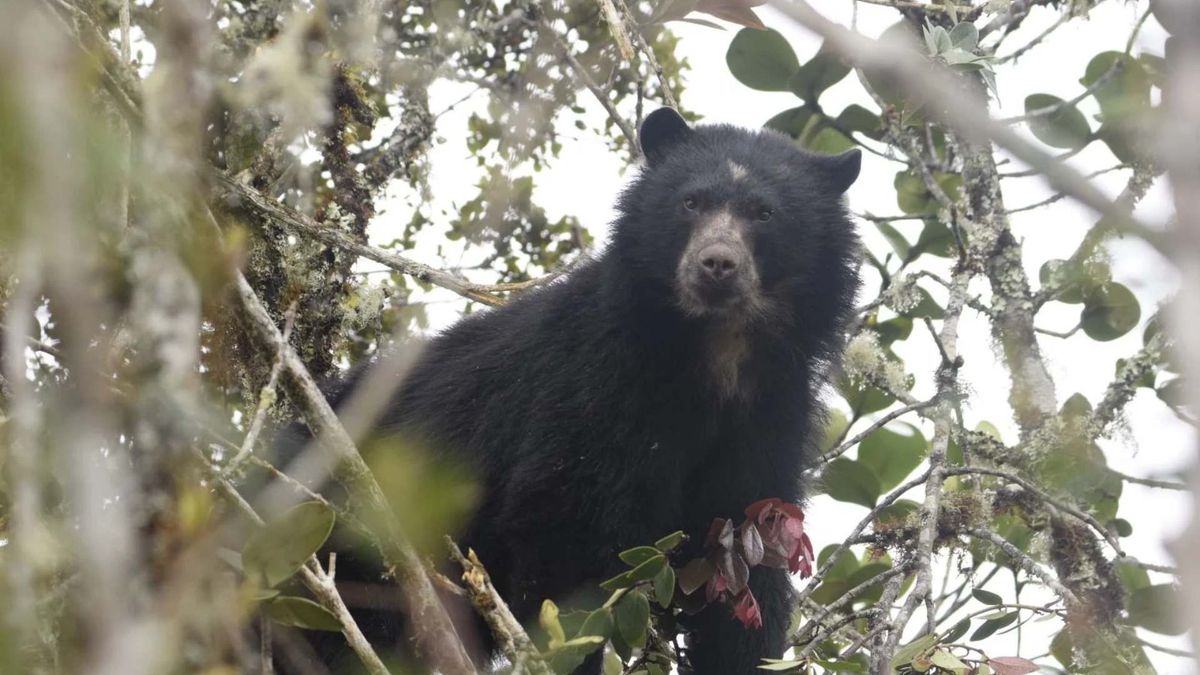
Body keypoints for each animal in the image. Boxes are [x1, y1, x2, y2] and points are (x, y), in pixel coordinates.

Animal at [271, 107, 862, 675]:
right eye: (690, 202)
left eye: (765, 214)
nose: (717, 264)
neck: (714, 352)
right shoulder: (592, 387)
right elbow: (561, 543)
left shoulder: (771, 418)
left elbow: (748, 571)